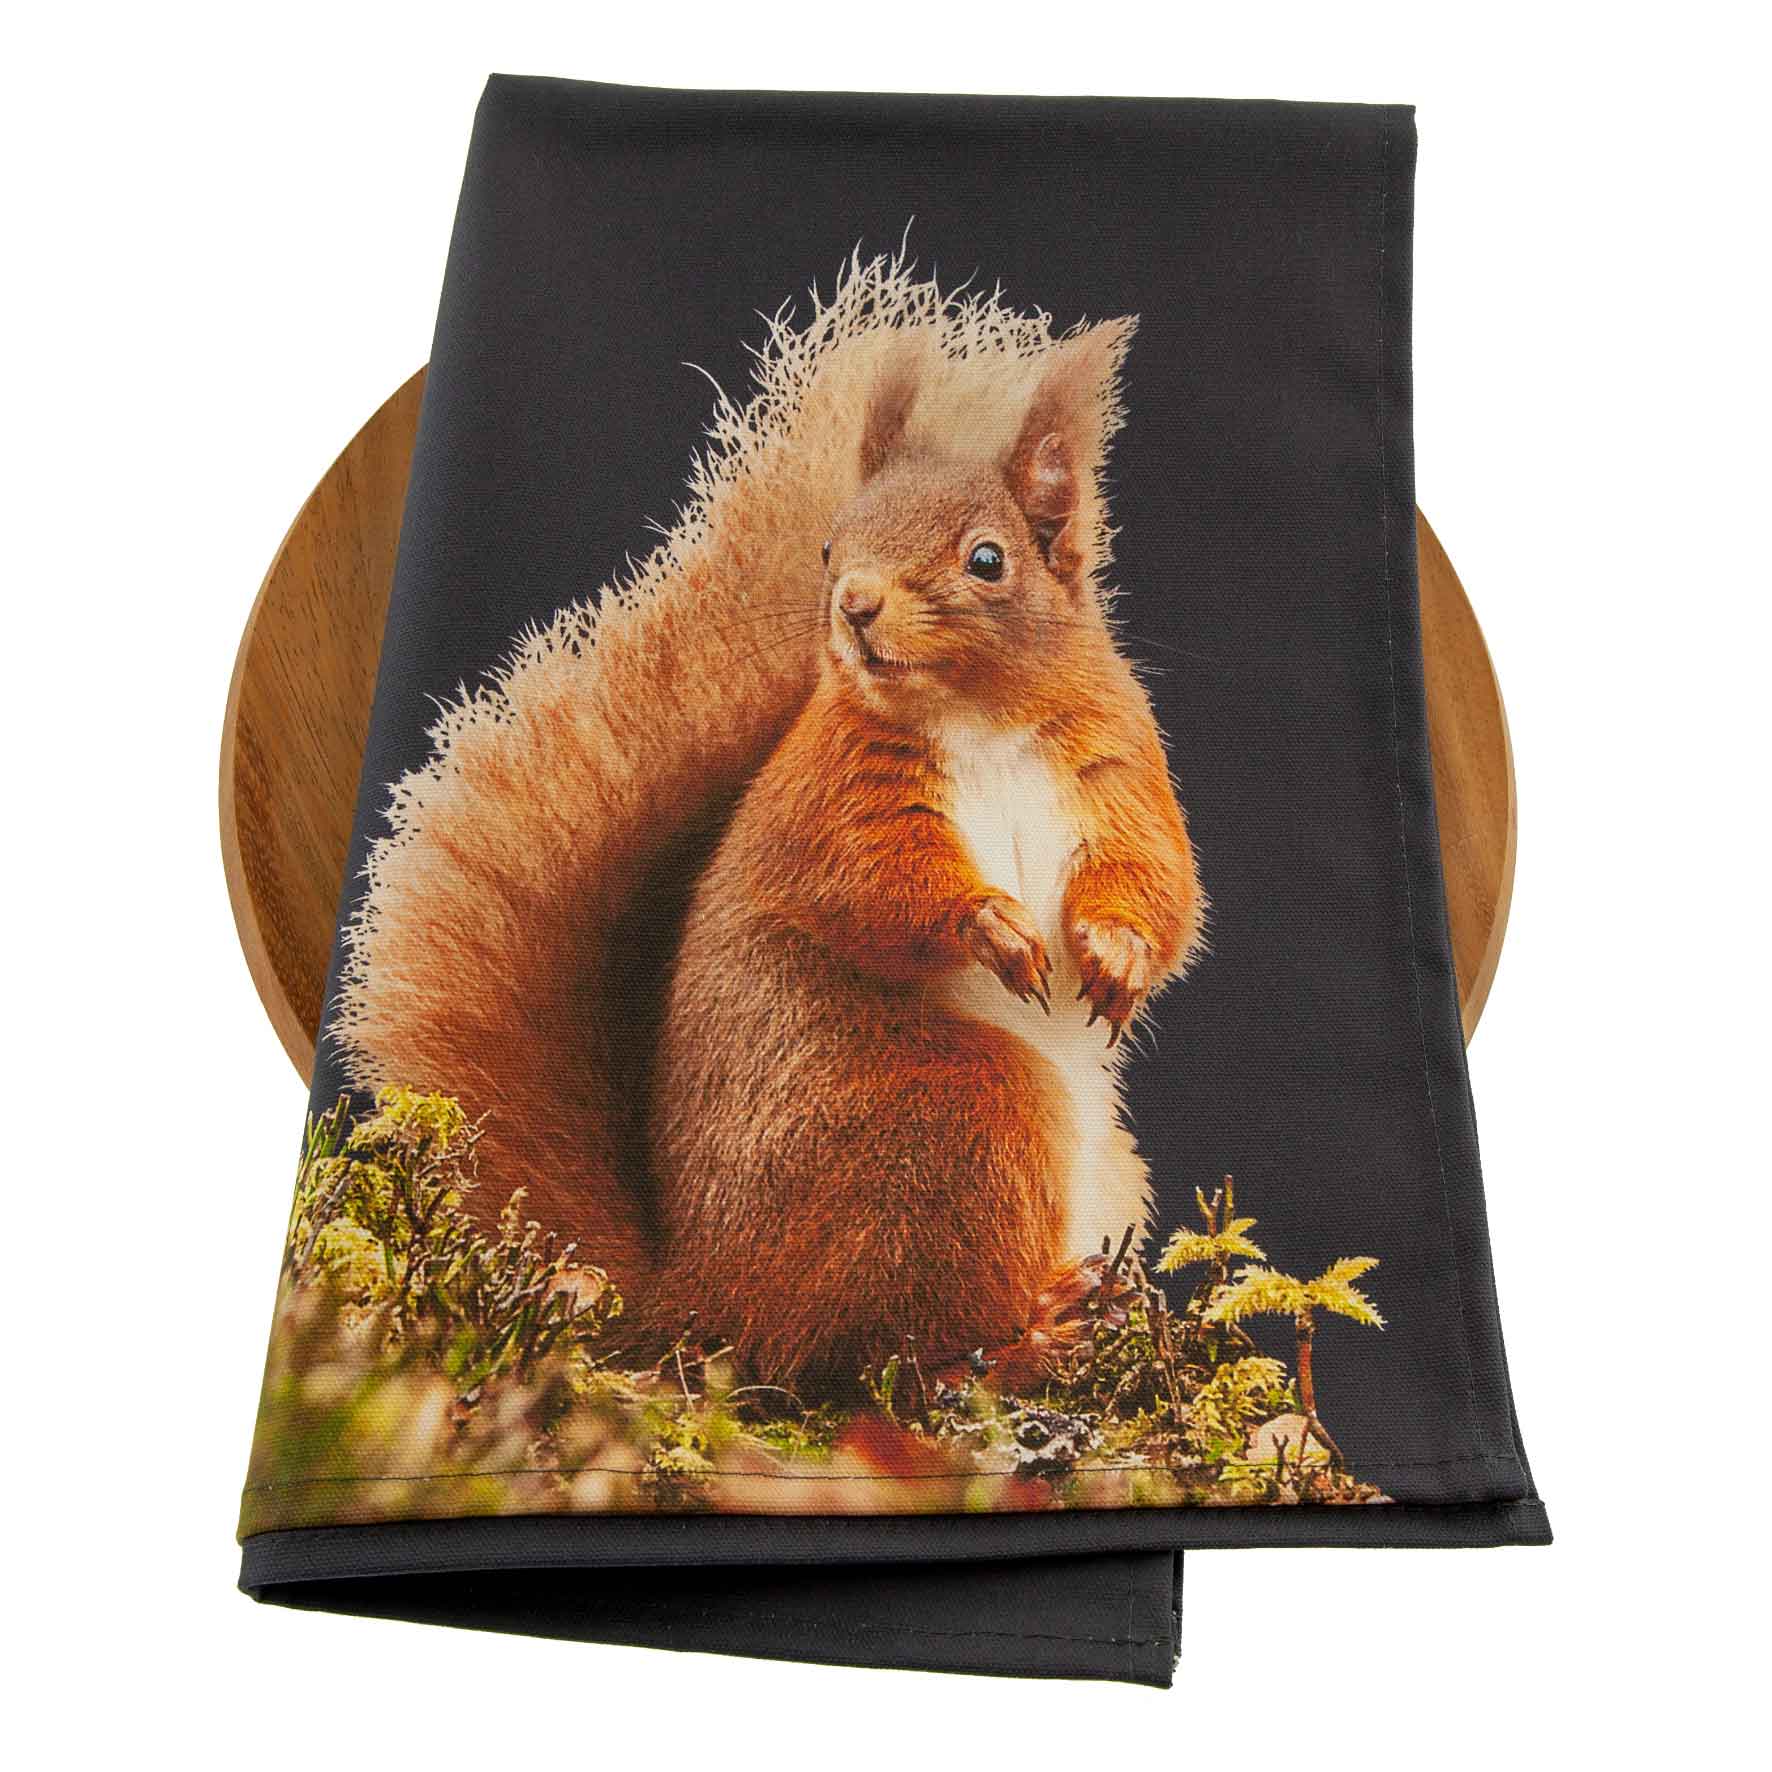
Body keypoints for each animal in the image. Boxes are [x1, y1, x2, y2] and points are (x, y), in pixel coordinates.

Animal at [335, 257, 1204, 1395]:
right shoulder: (834, 793)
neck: (978, 714)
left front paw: (1116, 952)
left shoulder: (1119, 767)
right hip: (959, 1122)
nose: (855, 604)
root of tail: (705, 1294)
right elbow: (874, 881)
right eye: (832, 541)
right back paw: (1030, 1335)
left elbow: (1156, 877)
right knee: (890, 1352)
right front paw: (990, 924)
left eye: (987, 559)